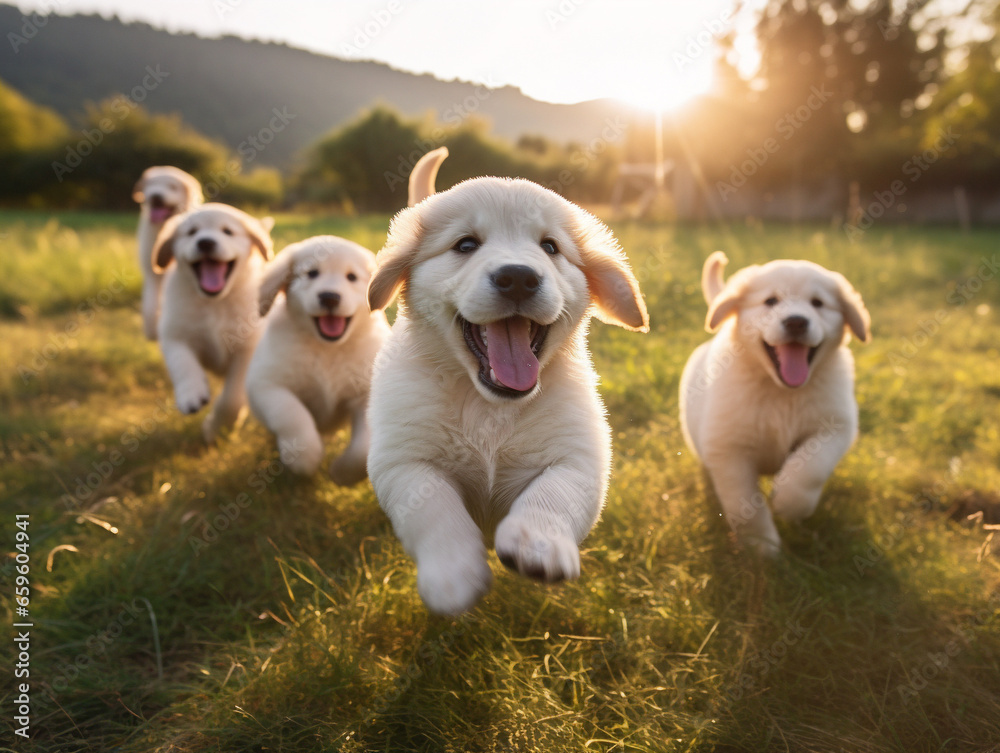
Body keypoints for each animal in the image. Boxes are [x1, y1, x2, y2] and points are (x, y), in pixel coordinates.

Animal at [133, 168, 203, 340]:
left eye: (172, 187)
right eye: (151, 185)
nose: (156, 196)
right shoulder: (152, 274)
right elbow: (150, 306)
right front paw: (152, 332)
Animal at [151, 203, 274, 444]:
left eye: (227, 231)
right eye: (192, 232)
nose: (205, 242)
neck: (215, 303)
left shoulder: (247, 350)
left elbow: (232, 398)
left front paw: (215, 428)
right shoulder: (174, 334)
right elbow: (182, 363)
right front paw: (191, 394)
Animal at [246, 235, 390, 482]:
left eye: (351, 277)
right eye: (312, 273)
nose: (329, 297)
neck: (327, 349)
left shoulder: (366, 393)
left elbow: (363, 448)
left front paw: (342, 473)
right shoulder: (267, 384)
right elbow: (291, 414)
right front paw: (303, 458)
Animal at [368, 148, 648, 616]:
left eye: (550, 247)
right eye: (465, 245)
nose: (518, 276)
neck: (490, 404)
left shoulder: (581, 455)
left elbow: (554, 494)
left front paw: (538, 545)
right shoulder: (403, 460)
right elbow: (434, 506)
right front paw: (453, 574)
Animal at [680, 251, 868, 552]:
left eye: (817, 303)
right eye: (770, 301)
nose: (796, 322)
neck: (782, 392)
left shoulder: (835, 427)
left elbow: (811, 468)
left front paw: (791, 504)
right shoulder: (728, 449)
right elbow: (743, 503)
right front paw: (762, 547)